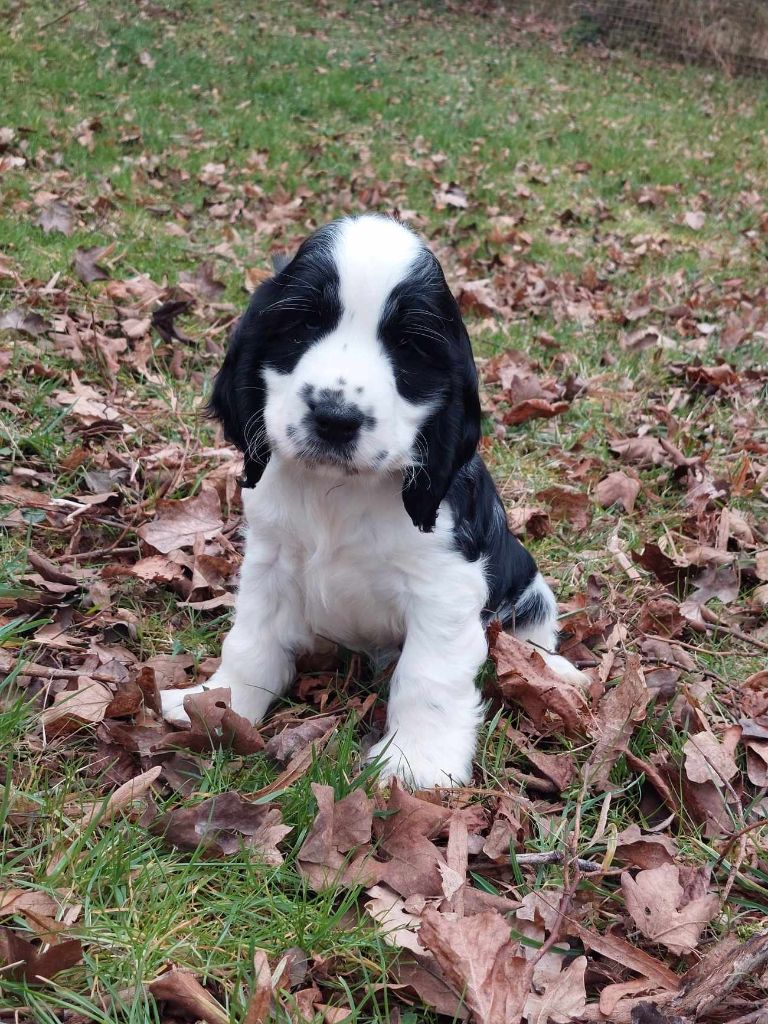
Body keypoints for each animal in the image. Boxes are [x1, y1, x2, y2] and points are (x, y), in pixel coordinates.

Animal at [162, 209, 581, 782]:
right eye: (303, 324)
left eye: (409, 347)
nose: (335, 418)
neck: (338, 491)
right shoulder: (270, 560)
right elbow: (250, 641)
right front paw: (215, 704)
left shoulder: (444, 588)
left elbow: (428, 677)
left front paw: (418, 764)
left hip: (530, 589)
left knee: (532, 641)